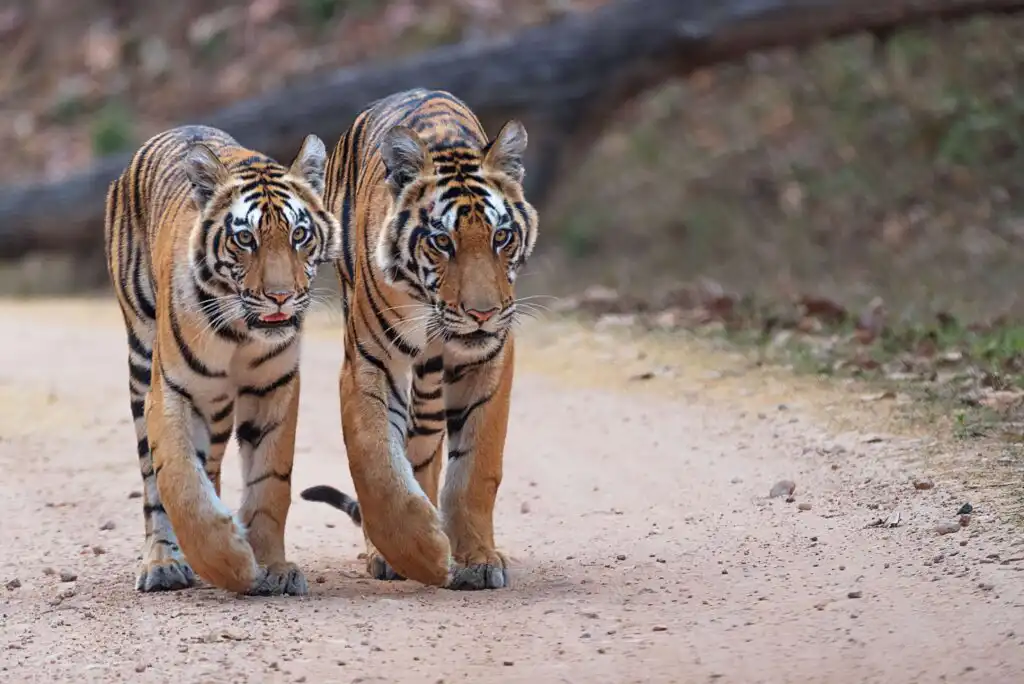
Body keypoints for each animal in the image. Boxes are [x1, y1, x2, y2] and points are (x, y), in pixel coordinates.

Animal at [103, 125, 341, 595]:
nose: (281, 296)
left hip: (214, 405)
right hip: (142, 360)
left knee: (211, 462)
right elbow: (179, 481)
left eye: (299, 235)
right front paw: (229, 563)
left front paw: (271, 566)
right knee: (154, 481)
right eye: (245, 238)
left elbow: (270, 484)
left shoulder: (274, 388)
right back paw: (164, 562)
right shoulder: (171, 390)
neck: (239, 333)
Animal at [299, 88, 538, 590]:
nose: (483, 313)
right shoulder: (369, 363)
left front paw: (477, 558)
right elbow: (377, 464)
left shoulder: (488, 359)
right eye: (442, 242)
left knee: (425, 449)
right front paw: (420, 553)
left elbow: (476, 469)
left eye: (501, 237)